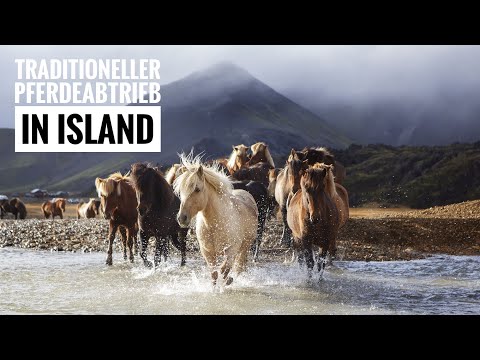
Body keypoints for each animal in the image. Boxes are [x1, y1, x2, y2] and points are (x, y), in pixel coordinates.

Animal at [173, 153, 258, 286]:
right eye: (180, 191)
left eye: (197, 189)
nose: (182, 218)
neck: (215, 224)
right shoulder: (208, 253)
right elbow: (214, 274)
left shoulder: (231, 249)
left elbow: (224, 269)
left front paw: (224, 282)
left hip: (245, 245)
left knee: (238, 266)